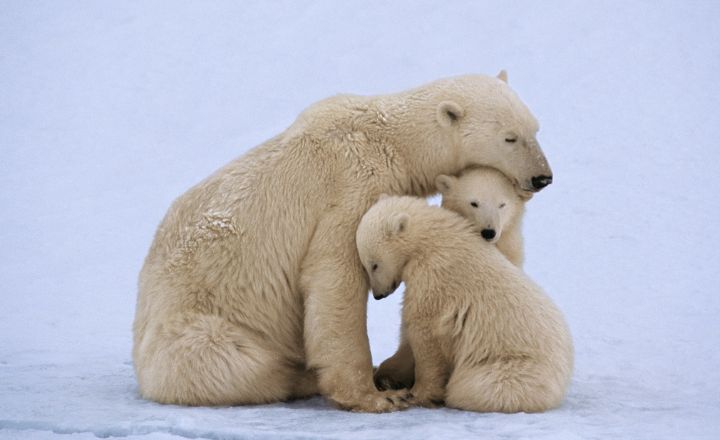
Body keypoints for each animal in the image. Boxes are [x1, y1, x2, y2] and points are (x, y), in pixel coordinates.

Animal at [357, 195, 573, 412]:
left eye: (374, 264)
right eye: (365, 265)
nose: (378, 295)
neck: (433, 240)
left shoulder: (435, 276)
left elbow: (425, 332)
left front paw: (417, 394)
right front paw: (387, 376)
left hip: (514, 368)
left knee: (472, 387)